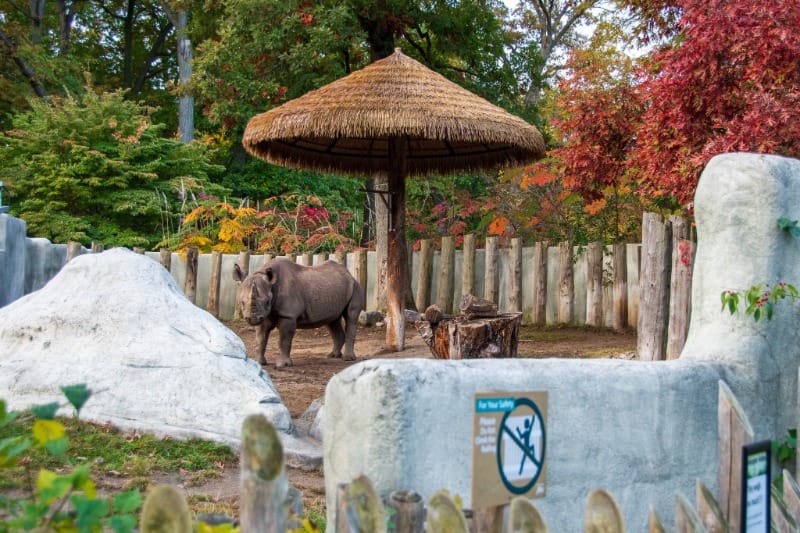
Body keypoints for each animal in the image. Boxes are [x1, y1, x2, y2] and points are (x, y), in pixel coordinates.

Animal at [232, 258, 365, 368]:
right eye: (242, 302)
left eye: (267, 302)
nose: (253, 319)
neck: (271, 285)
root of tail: (349, 274)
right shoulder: (264, 315)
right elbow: (260, 339)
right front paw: (259, 363)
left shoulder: (288, 315)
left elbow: (284, 340)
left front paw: (283, 365)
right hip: (335, 289)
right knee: (332, 321)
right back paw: (332, 356)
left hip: (355, 286)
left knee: (351, 317)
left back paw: (348, 359)